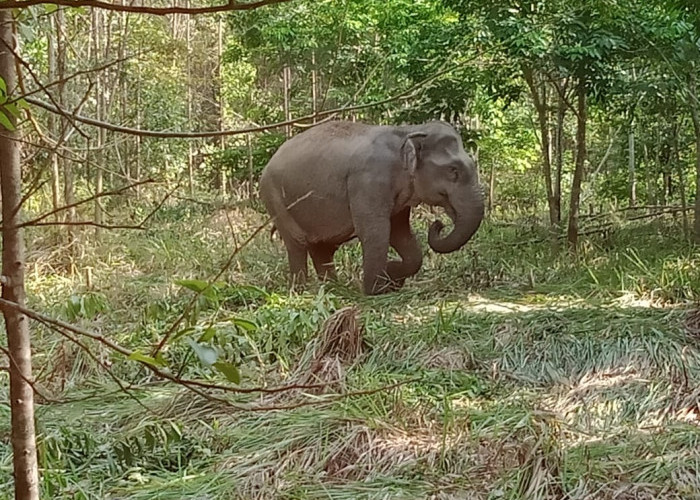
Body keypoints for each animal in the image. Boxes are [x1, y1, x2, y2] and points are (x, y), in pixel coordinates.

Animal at [260, 119, 484, 294]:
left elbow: (400, 233)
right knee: (297, 243)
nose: (438, 224)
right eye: (453, 170)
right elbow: (376, 231)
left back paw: (334, 290)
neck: (407, 131)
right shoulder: (367, 181)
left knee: (322, 248)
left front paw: (392, 276)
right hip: (275, 198)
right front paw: (377, 290)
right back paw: (300, 292)